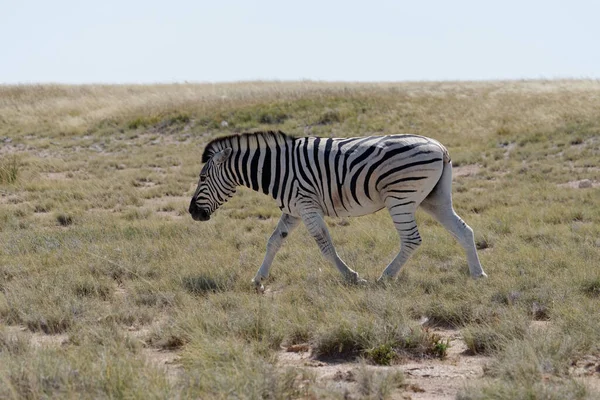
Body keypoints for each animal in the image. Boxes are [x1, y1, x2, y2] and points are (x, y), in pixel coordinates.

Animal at [190, 131, 486, 290]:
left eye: (202, 178)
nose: (193, 213)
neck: (275, 169)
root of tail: (440, 147)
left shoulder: (307, 206)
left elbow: (324, 245)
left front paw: (352, 277)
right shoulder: (294, 209)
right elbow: (273, 241)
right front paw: (258, 280)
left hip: (400, 198)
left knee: (412, 239)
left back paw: (385, 277)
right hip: (435, 199)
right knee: (464, 230)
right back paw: (477, 274)